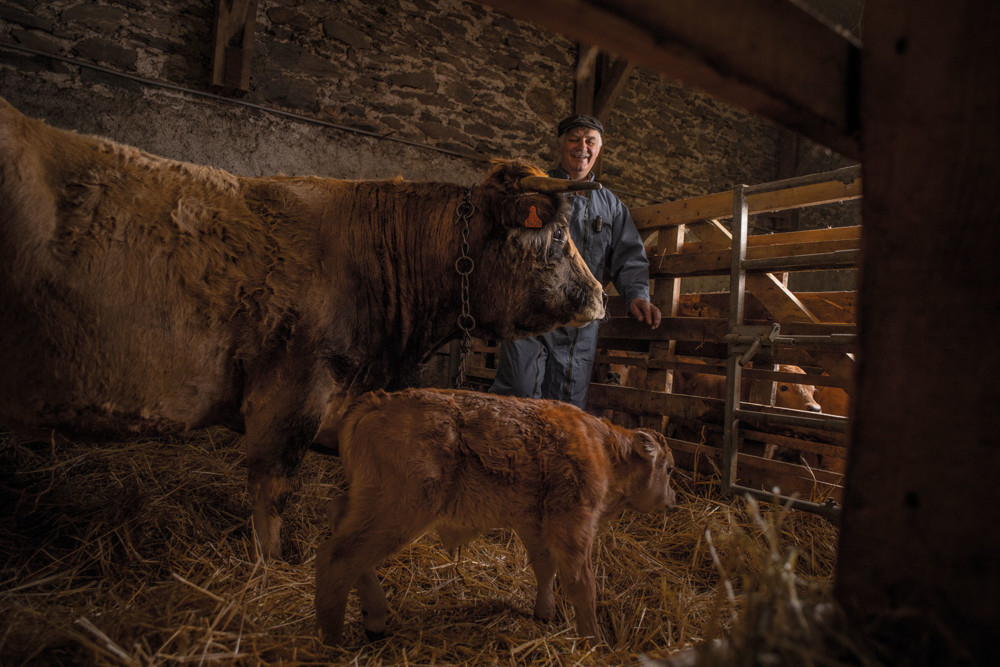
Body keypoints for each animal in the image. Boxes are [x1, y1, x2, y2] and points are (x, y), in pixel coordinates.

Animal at [310, 388, 672, 644]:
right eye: (668, 469)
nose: (672, 501)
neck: (604, 450)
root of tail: (377, 400)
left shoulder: (533, 524)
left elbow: (544, 567)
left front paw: (545, 613)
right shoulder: (575, 525)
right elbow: (582, 585)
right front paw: (594, 641)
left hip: (370, 502)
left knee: (337, 514)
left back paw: (374, 616)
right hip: (398, 511)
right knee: (337, 558)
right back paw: (333, 643)